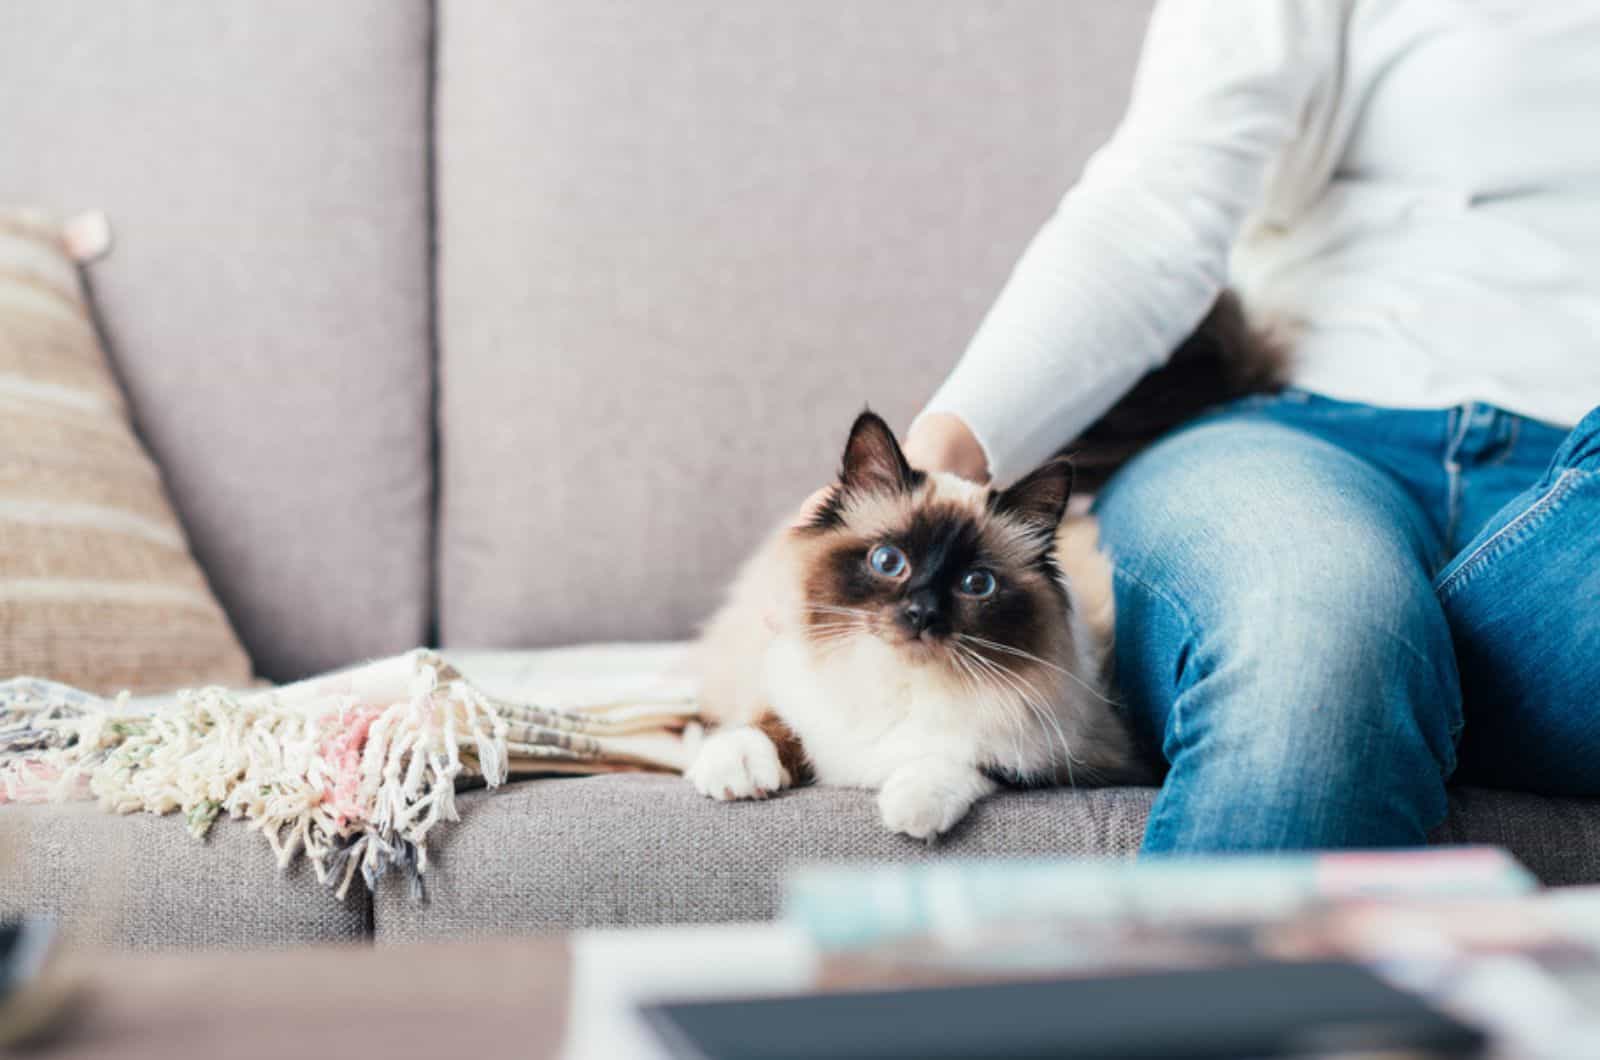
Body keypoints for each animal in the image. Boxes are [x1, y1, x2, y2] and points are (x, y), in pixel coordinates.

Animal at [684, 294, 1273, 845]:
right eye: (888, 562)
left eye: (976, 584)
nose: (921, 613)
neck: (902, 683)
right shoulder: (793, 683)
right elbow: (768, 721)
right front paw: (736, 771)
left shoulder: (1072, 754)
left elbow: (966, 760)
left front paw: (911, 808)